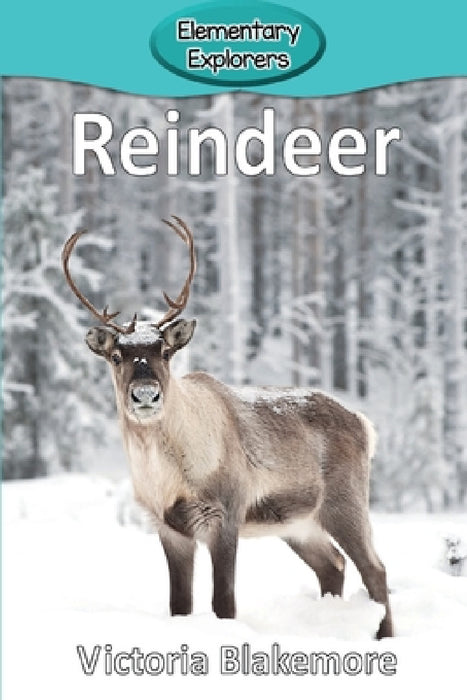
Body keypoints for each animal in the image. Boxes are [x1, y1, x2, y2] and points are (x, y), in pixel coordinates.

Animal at [62, 216, 393, 639]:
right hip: (298, 524)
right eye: (117, 355)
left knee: (375, 569)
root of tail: (363, 424)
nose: (146, 395)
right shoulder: (169, 528)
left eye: (165, 352)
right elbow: (179, 605)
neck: (167, 476)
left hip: (345, 502)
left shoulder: (225, 515)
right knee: (333, 565)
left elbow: (224, 603)